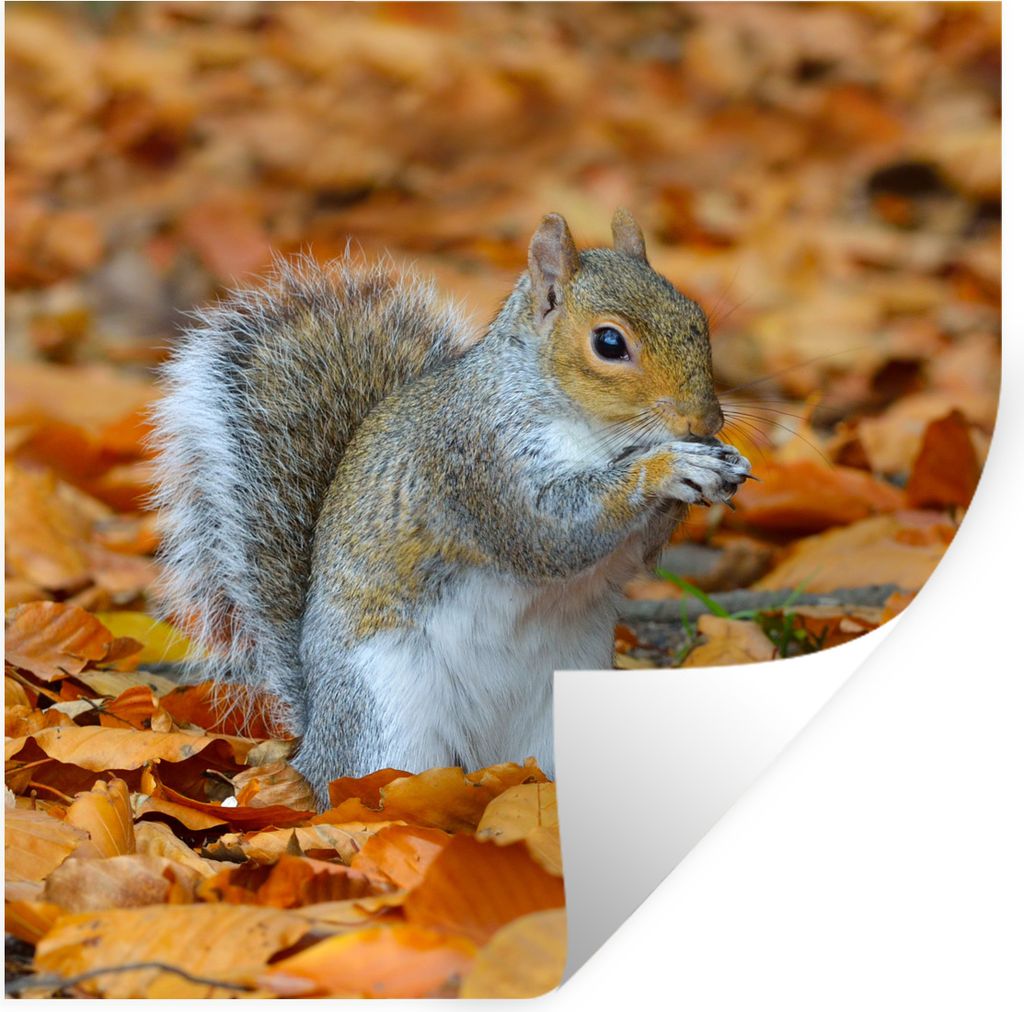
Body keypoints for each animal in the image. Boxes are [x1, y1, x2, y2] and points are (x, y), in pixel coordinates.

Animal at [150, 210, 751, 806]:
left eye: (697, 317)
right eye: (609, 342)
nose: (705, 421)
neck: (593, 431)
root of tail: (315, 741)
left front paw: (718, 465)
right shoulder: (478, 461)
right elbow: (552, 533)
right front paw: (669, 467)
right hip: (385, 710)